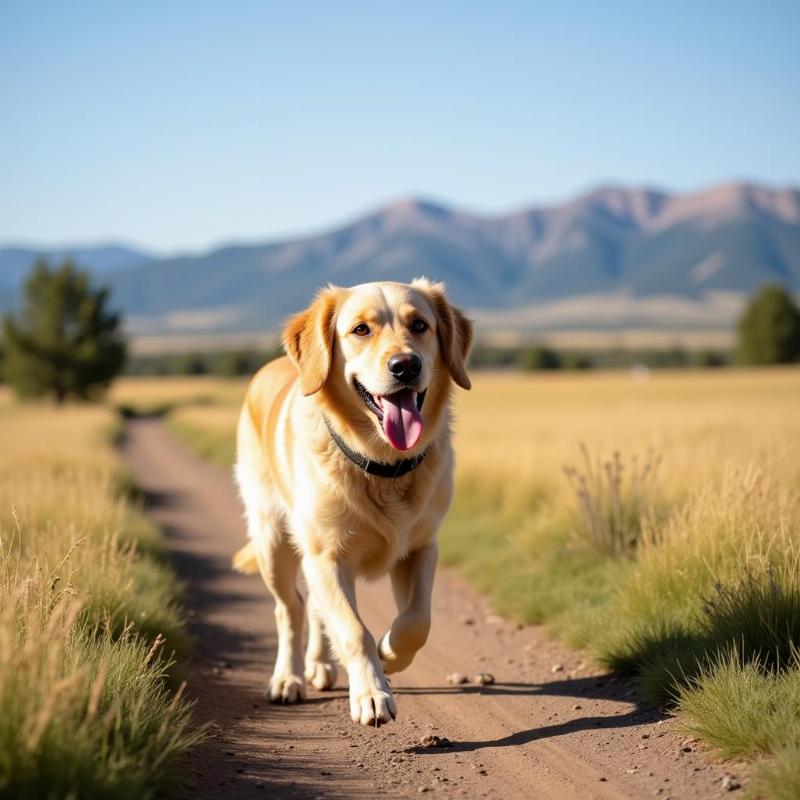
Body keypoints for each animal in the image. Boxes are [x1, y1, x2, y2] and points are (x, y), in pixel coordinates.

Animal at [231, 278, 472, 728]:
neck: (383, 465)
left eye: (420, 325)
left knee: (312, 608)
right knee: (289, 610)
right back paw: (288, 678)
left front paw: (389, 655)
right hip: (272, 539)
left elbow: (418, 621)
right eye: (361, 330)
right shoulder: (326, 555)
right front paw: (372, 694)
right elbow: (353, 629)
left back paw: (320, 665)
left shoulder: (420, 546)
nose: (405, 365)